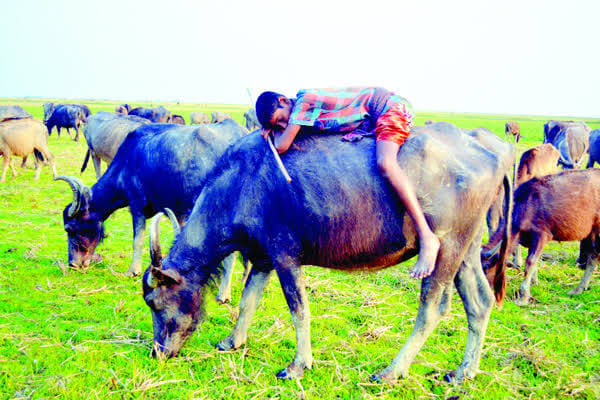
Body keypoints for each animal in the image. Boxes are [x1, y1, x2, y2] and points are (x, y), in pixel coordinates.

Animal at [55, 120, 246, 282]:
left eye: (69, 228)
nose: (73, 263)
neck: (127, 162)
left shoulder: (136, 204)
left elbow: (138, 239)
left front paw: (133, 270)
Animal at [141, 122, 510, 384]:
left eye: (155, 303)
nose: (159, 352)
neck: (240, 182)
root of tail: (491, 153)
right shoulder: (263, 258)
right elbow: (248, 301)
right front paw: (232, 341)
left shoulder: (285, 255)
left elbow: (298, 309)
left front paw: (298, 365)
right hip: (467, 250)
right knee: (479, 302)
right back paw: (463, 372)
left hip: (445, 251)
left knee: (432, 309)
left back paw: (391, 371)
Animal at [480, 167, 600, 304]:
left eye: (486, 267)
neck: (525, 206)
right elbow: (533, 262)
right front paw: (534, 282)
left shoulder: (542, 236)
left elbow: (530, 262)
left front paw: (523, 296)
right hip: (590, 233)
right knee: (593, 256)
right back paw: (580, 288)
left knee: (594, 257)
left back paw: (578, 288)